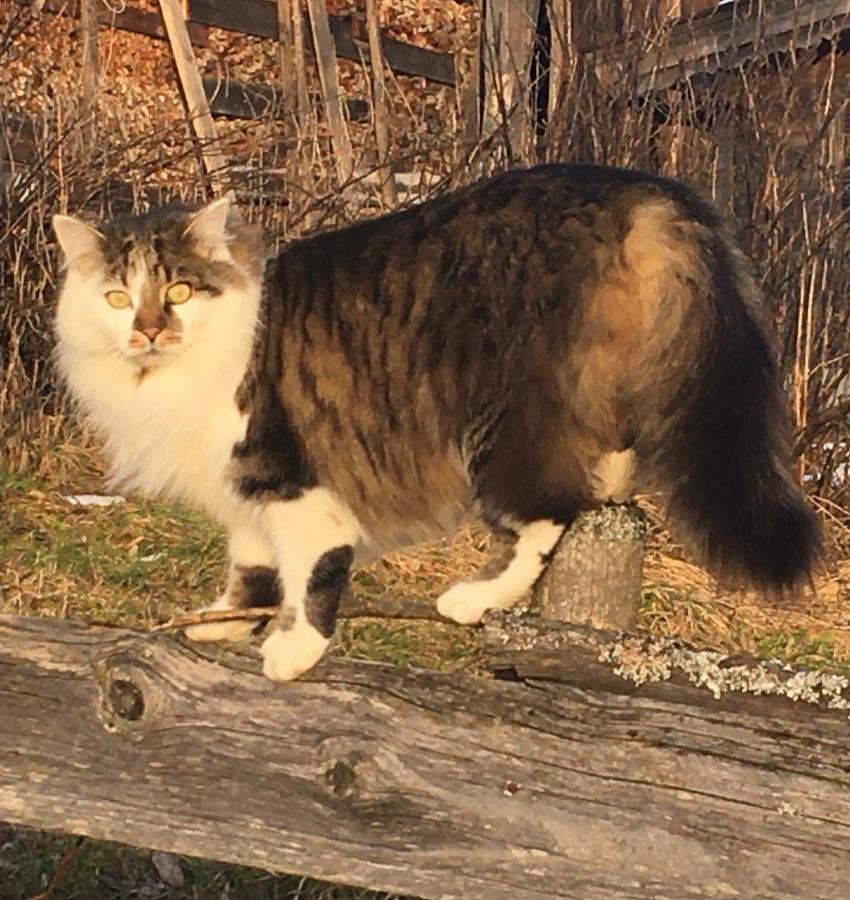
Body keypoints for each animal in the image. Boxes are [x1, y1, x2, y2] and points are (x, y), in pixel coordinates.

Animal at [49, 163, 820, 684]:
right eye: (118, 298)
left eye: (179, 290)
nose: (149, 331)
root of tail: (636, 185)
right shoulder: (247, 498)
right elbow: (252, 570)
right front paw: (224, 622)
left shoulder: (290, 481)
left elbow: (311, 573)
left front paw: (293, 649)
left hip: (507, 426)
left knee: (548, 516)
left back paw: (473, 599)